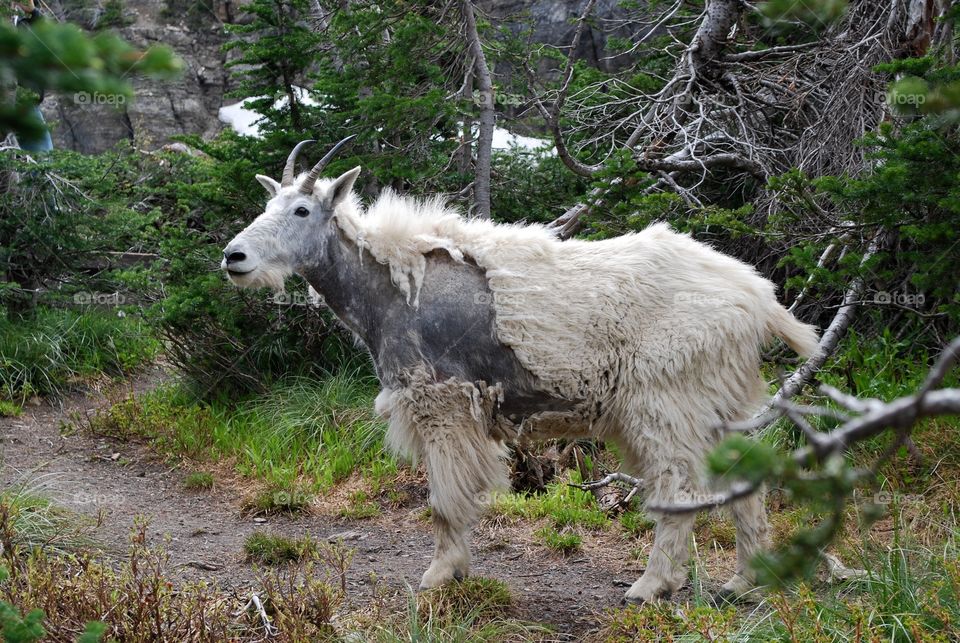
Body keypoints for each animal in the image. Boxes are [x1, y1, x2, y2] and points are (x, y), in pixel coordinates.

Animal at [223, 137, 816, 604]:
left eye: (302, 210)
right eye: (270, 203)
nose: (234, 257)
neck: (390, 284)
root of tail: (758, 299)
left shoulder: (441, 400)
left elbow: (443, 499)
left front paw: (439, 575)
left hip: (666, 399)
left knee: (679, 486)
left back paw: (651, 586)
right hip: (723, 401)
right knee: (744, 481)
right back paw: (744, 582)